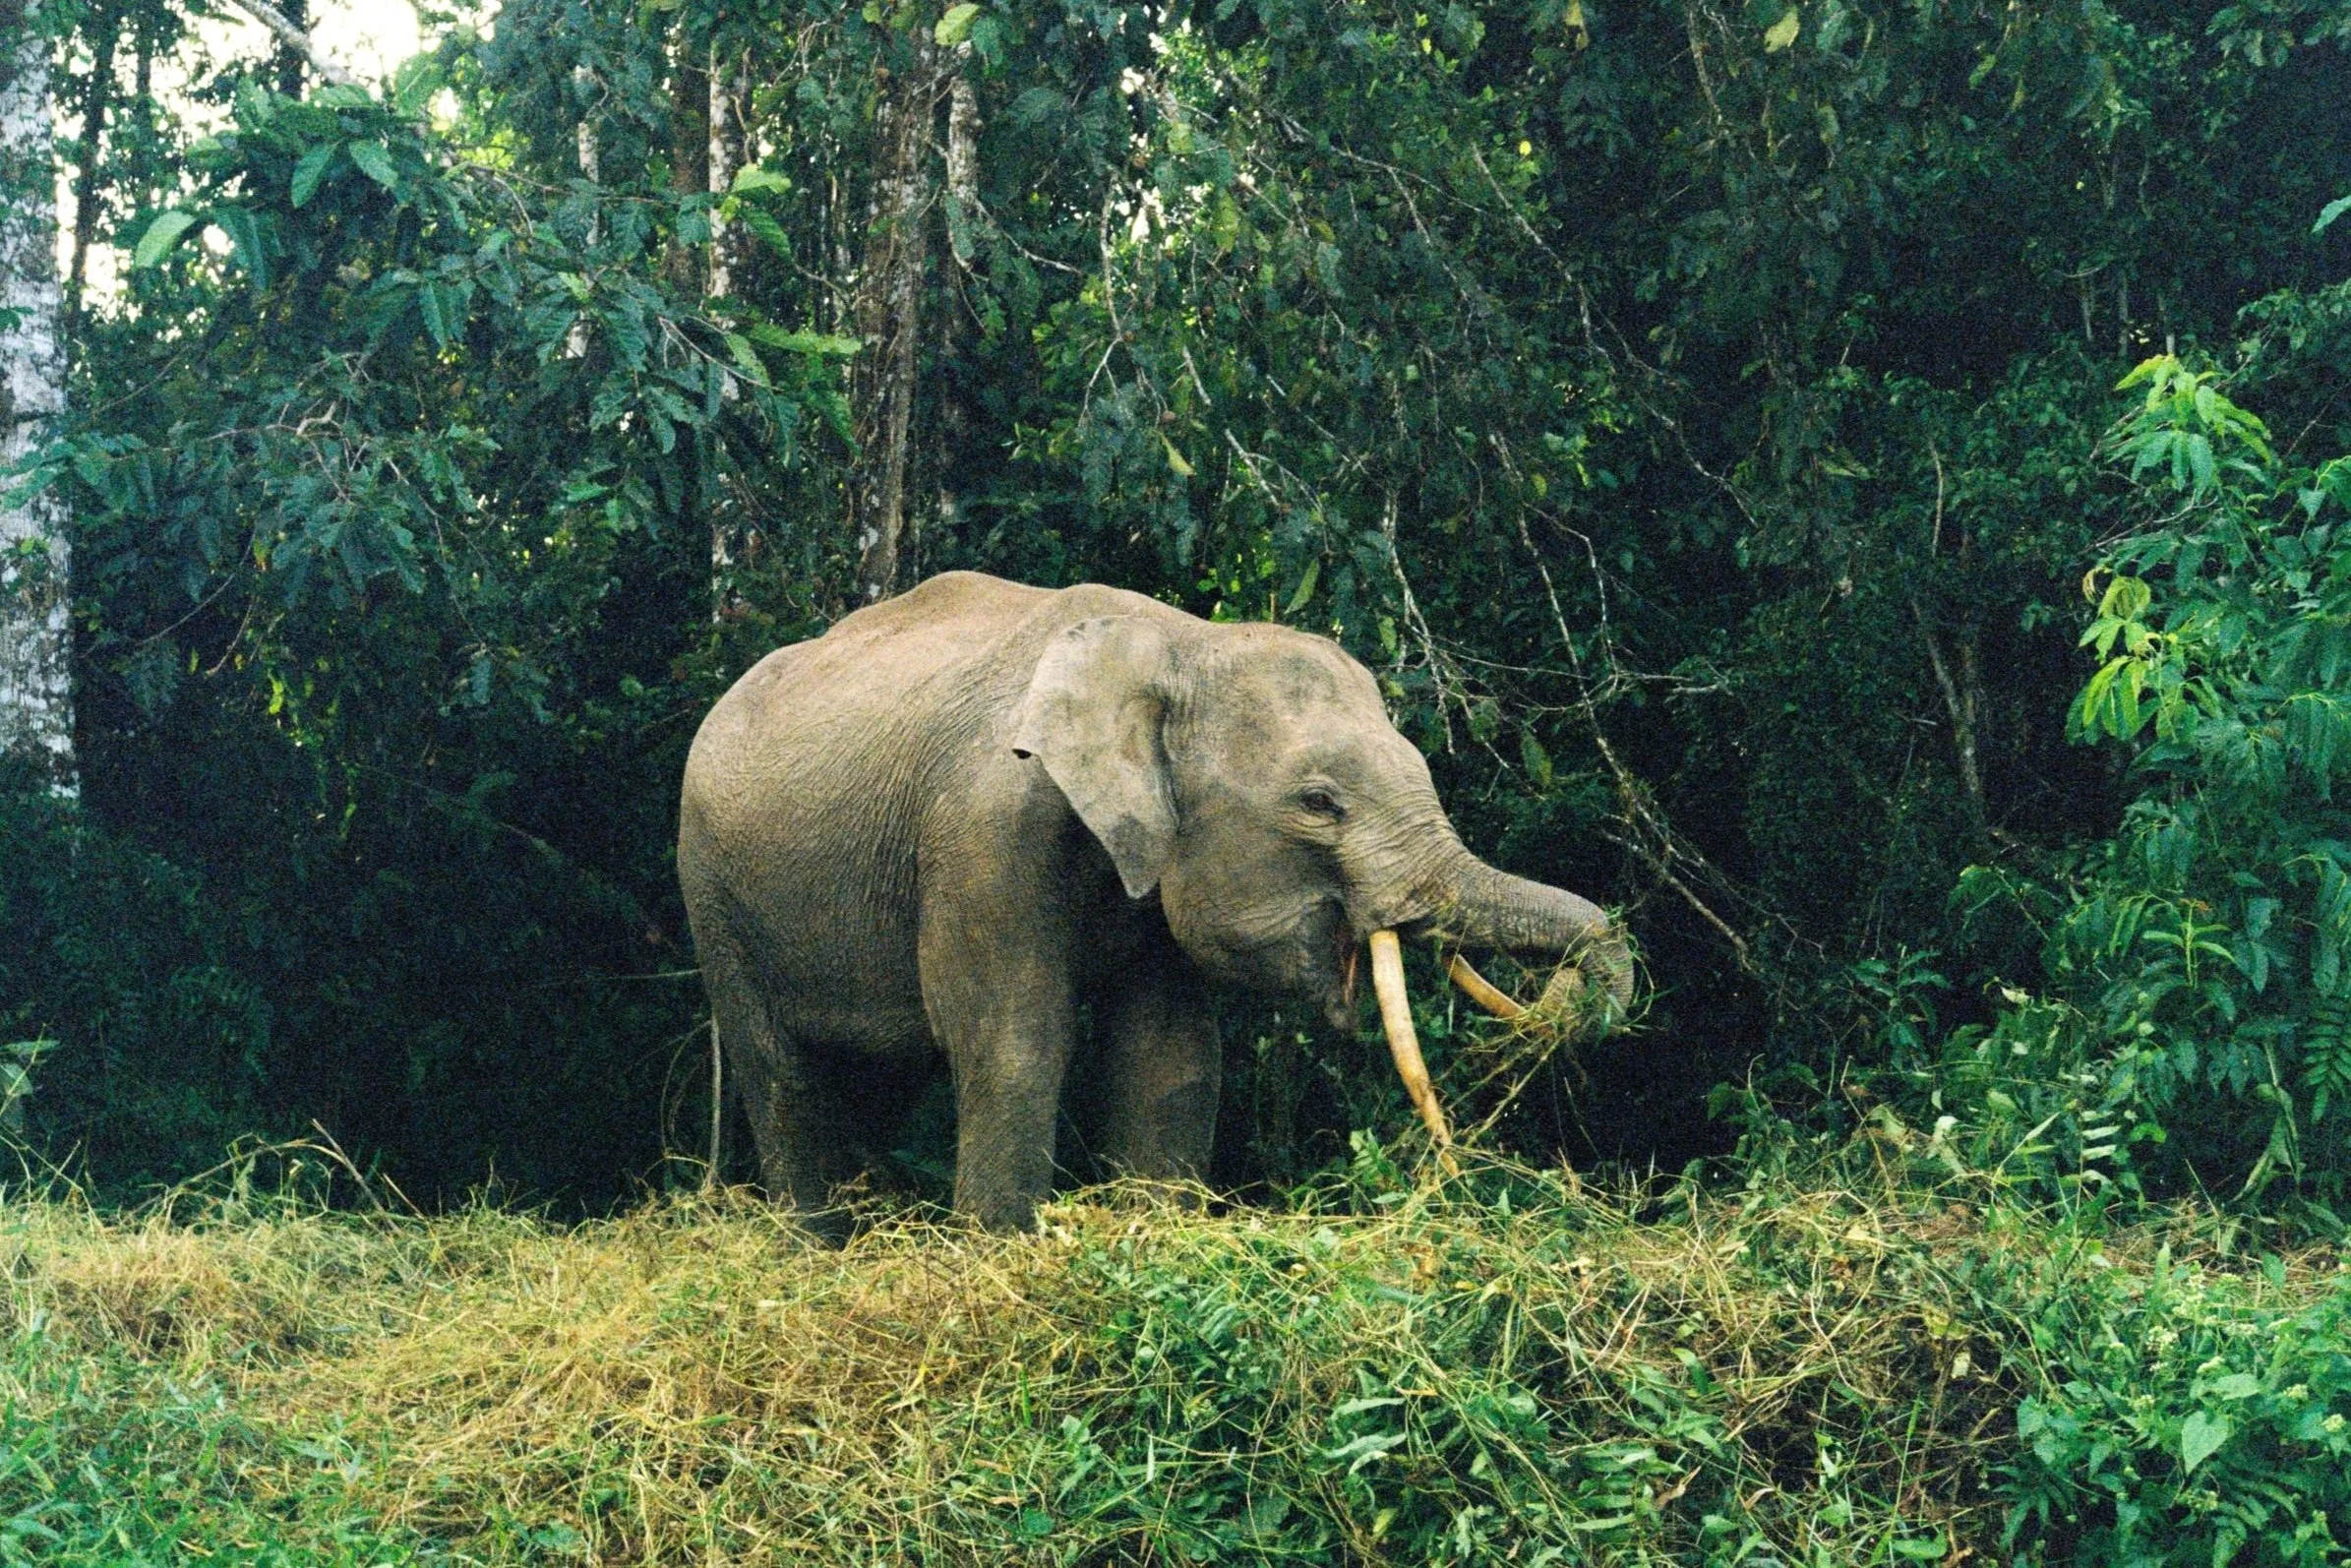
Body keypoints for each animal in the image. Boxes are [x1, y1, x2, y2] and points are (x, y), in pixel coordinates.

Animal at [678, 571, 1633, 1234]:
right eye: (1320, 801)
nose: (1556, 1002)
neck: (1180, 645)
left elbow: (1169, 1055)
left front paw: (1152, 1225)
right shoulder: (985, 831)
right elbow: (1010, 1038)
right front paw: (1000, 1250)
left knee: (876, 1076)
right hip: (710, 888)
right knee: (783, 1071)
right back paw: (817, 1246)